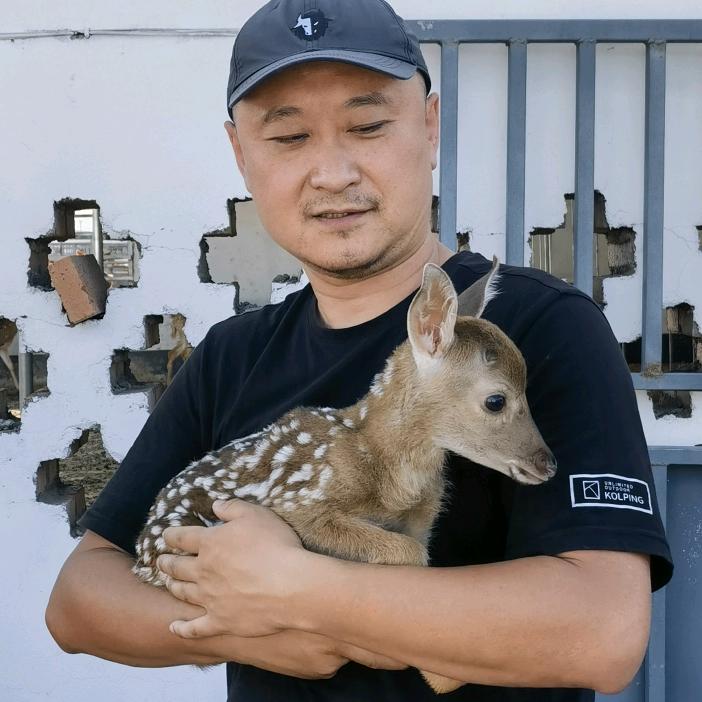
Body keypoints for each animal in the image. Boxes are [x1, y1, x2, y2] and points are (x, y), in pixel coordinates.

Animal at [133, 256, 557, 694]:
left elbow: (416, 556)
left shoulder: (422, 520)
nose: (548, 464)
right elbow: (408, 553)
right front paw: (444, 677)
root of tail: (142, 546)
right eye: (496, 401)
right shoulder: (302, 501)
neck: (388, 471)